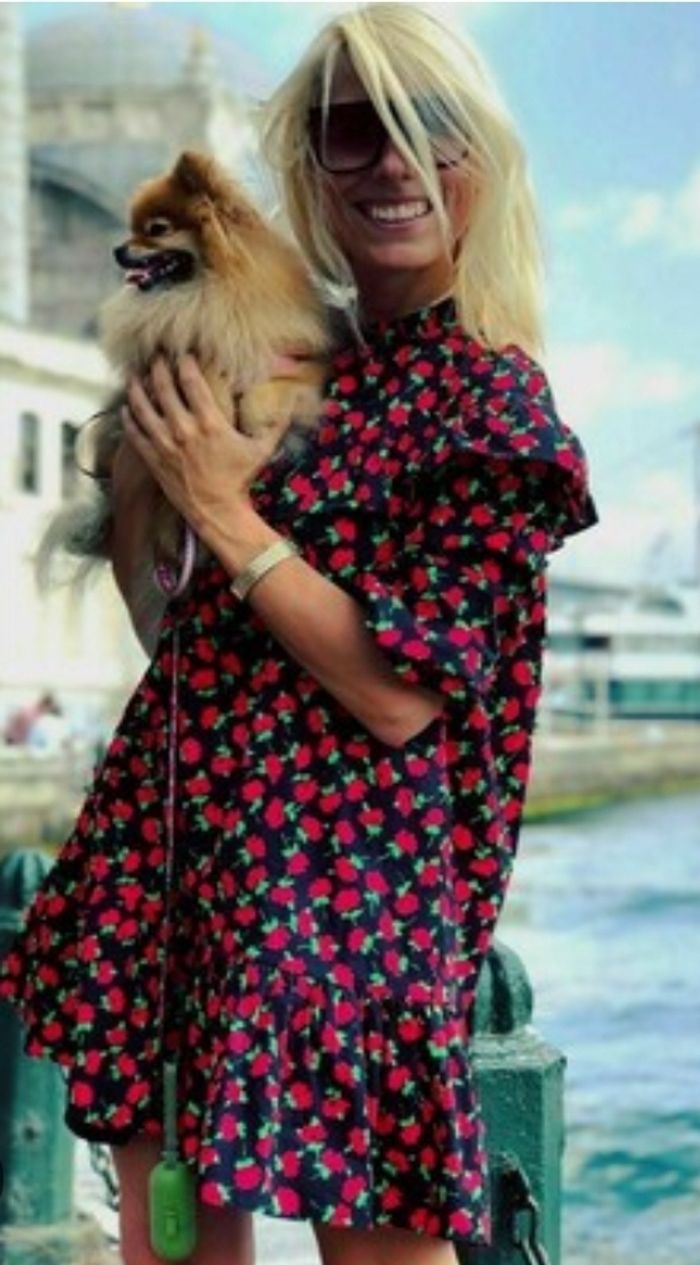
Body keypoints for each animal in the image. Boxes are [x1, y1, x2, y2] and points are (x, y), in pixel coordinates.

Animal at [37, 150, 331, 602]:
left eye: (157, 229)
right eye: (131, 229)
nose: (117, 250)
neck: (205, 294)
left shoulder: (299, 362)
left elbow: (273, 386)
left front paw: (254, 418)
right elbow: (206, 370)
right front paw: (219, 400)